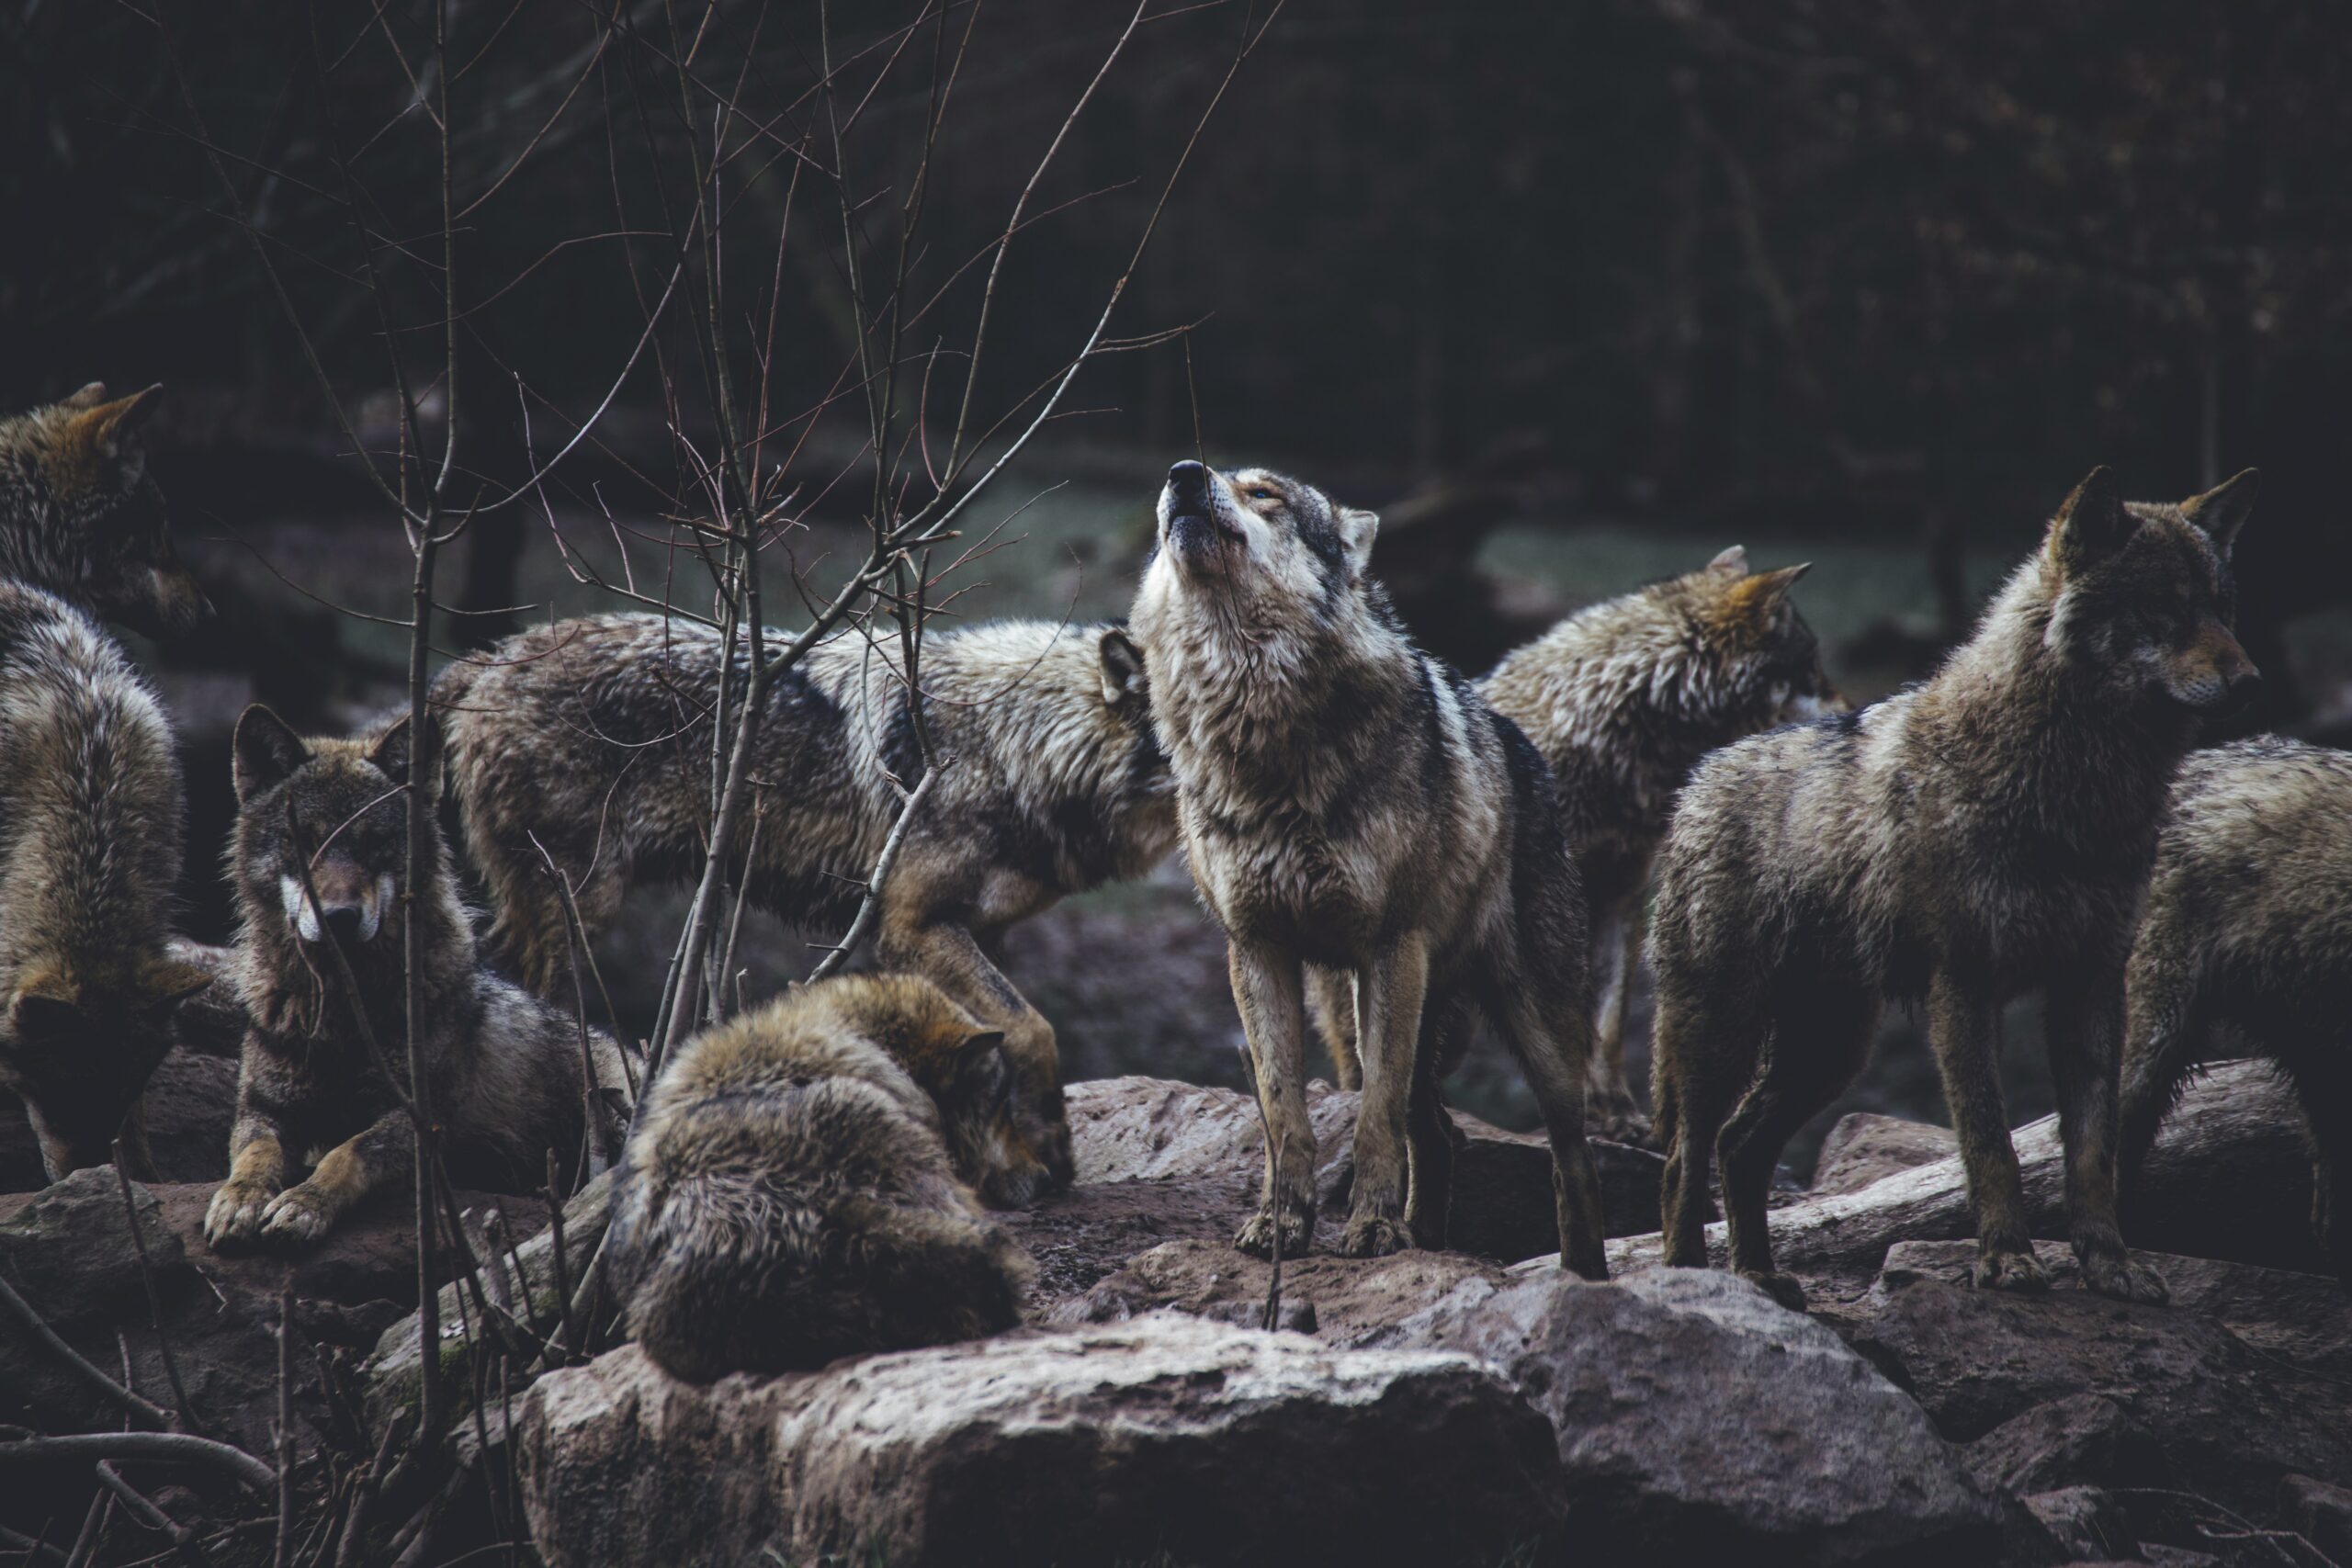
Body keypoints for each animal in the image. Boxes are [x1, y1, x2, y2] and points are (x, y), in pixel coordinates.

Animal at [203, 706, 637, 1250]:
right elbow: (256, 1154)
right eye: (304, 840)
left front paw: (304, 1204)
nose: (339, 917)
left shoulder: (419, 1121)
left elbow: (346, 1153)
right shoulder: (263, 1110)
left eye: (375, 842)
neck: (344, 1015)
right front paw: (238, 1199)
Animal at [434, 613, 1175, 1198]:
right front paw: (1050, 1150)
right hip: (577, 911)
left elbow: (999, 1041)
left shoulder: (981, 931)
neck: (1014, 743)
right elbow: (1033, 1028)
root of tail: (490, 656)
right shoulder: (912, 926)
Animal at [1130, 459, 1607, 1274]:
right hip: (1362, 1011)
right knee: (1440, 1134)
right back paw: (1430, 1240)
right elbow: (1284, 1113)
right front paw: (1282, 1225)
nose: (1184, 474)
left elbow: (1374, 1119)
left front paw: (1375, 1230)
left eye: (1266, 493)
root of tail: (1523, 745)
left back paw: (1584, 1275)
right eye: (1199, 475)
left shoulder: (1390, 946)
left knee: (1568, 1159)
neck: (1257, 725)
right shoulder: (1256, 949)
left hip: (1529, 1027)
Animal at [1649, 467, 2260, 1309]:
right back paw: (1692, 1279)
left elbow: (2093, 1154)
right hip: (1726, 1032)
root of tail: (1698, 777)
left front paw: (2109, 1264)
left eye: (2223, 609)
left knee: (1739, 1145)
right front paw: (2007, 1259)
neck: (2073, 791)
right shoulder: (1963, 985)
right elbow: (1990, 1142)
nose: (2250, 680)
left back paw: (1760, 1278)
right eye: (2164, 607)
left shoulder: (2092, 984)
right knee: (1687, 1153)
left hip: (1830, 1049)